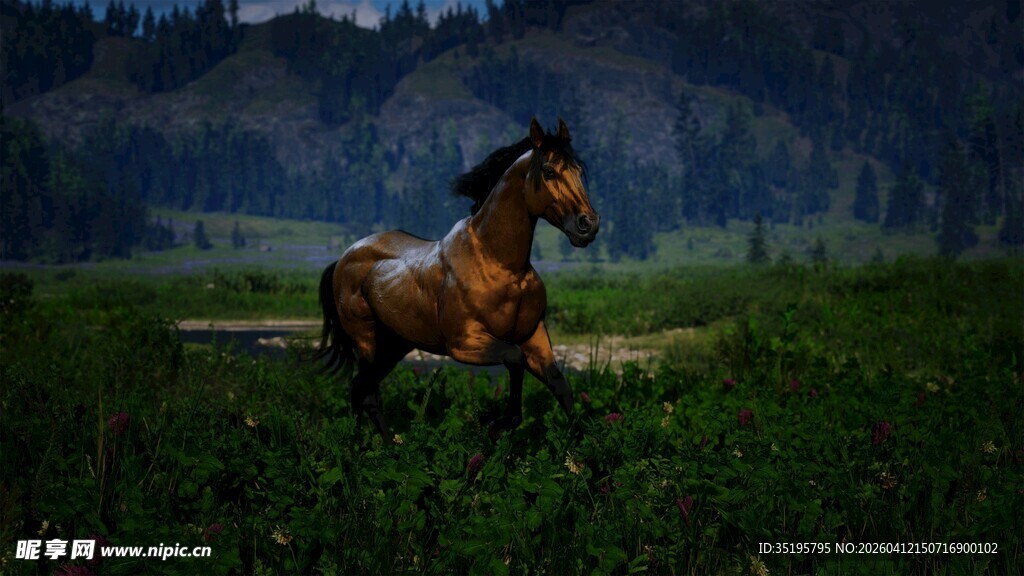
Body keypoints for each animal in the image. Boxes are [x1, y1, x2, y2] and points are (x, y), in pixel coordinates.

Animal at [316, 117, 599, 443]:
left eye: (579, 170)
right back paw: (380, 447)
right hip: (367, 342)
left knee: (359, 389)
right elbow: (515, 360)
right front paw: (498, 424)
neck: (501, 265)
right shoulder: (465, 344)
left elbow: (561, 386)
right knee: (366, 392)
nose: (588, 225)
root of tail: (343, 259)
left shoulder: (534, 337)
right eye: (549, 171)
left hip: (394, 347)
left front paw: (581, 447)